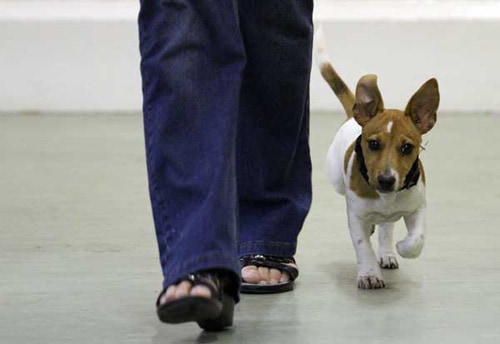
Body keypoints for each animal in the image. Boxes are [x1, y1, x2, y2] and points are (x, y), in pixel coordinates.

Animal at [318, 29, 440, 288]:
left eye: (407, 147)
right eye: (373, 144)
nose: (386, 180)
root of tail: (352, 116)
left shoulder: (418, 207)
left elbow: (417, 237)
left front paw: (403, 247)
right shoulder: (355, 217)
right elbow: (363, 246)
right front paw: (369, 273)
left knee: (386, 226)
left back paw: (387, 251)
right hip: (335, 179)